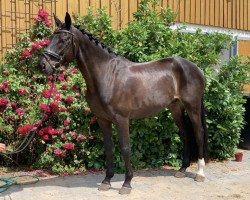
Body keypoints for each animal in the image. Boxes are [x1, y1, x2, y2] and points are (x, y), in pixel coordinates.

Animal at [39, 13, 208, 195]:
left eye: (63, 40)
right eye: (51, 37)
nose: (43, 65)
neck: (107, 75)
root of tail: (195, 68)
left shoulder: (122, 119)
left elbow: (125, 148)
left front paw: (127, 183)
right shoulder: (102, 119)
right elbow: (108, 147)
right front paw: (106, 181)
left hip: (192, 107)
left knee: (198, 133)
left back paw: (200, 173)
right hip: (175, 107)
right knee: (185, 133)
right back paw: (182, 170)